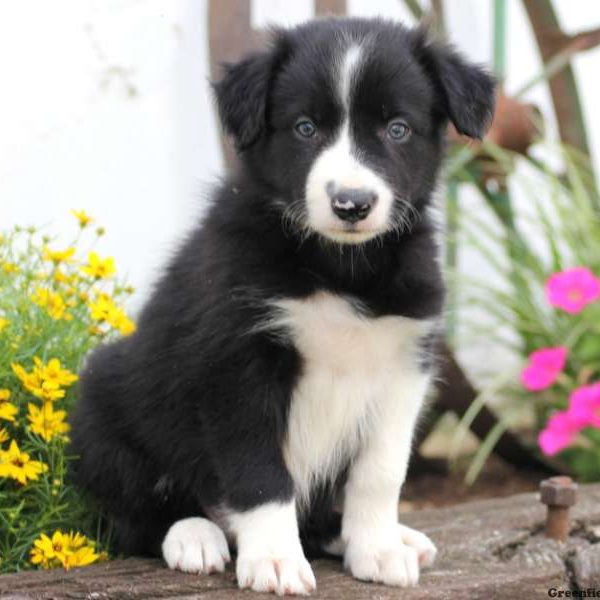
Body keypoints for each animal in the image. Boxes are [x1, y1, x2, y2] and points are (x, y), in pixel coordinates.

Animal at [70, 17, 494, 596]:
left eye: (398, 129)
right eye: (306, 128)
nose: (351, 204)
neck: (339, 268)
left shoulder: (405, 362)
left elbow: (381, 472)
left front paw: (378, 548)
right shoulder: (237, 364)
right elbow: (261, 475)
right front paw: (272, 560)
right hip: (103, 405)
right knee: (137, 515)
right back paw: (194, 535)